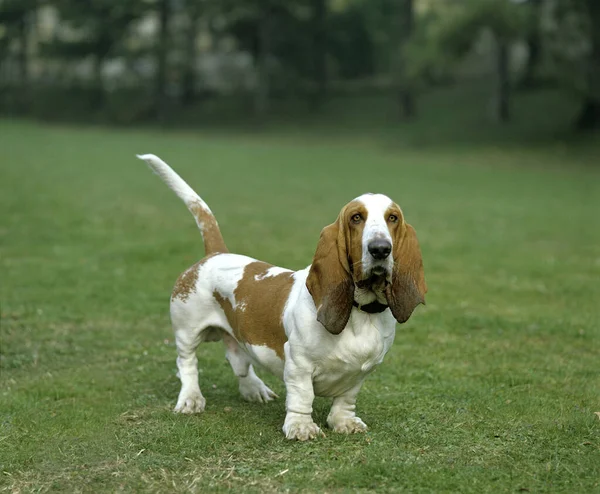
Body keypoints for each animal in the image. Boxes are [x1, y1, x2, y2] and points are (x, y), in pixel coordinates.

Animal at [137, 153, 426, 440]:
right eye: (356, 217)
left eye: (393, 218)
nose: (380, 249)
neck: (360, 311)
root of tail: (216, 253)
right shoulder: (298, 364)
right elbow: (302, 397)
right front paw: (301, 427)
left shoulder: (360, 372)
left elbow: (346, 399)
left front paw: (344, 422)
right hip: (187, 329)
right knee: (186, 363)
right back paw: (191, 399)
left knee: (238, 359)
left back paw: (254, 389)